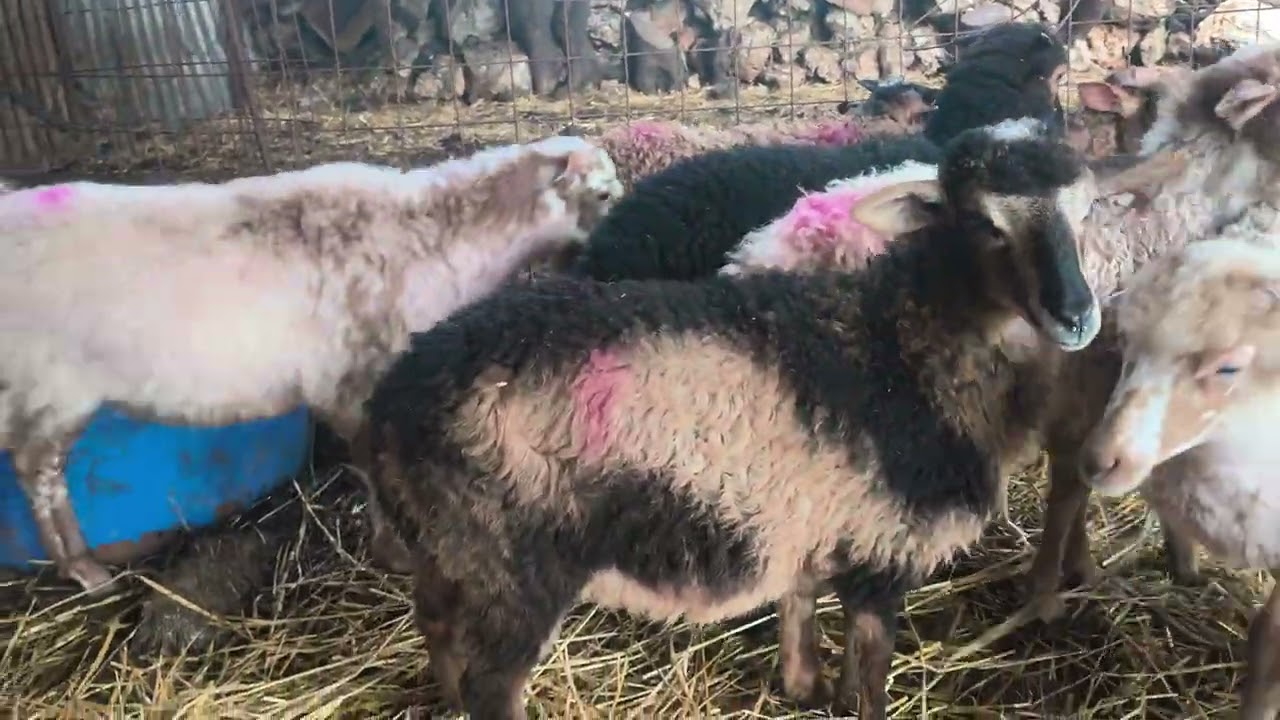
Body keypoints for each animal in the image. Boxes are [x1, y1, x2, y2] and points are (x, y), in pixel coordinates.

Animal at [0, 135, 624, 595]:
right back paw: (83, 569)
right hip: (53, 388)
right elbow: (373, 467)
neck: (440, 233)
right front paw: (397, 551)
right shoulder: (358, 384)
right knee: (39, 475)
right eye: (603, 194)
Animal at [361, 117, 1106, 720]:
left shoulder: (813, 521)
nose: (1077, 317)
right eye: (985, 224)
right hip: (513, 564)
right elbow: (869, 681)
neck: (907, 339)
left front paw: (803, 687)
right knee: (492, 684)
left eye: (1083, 212)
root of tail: (394, 399)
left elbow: (799, 611)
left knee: (436, 626)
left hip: (450, 550)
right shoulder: (881, 549)